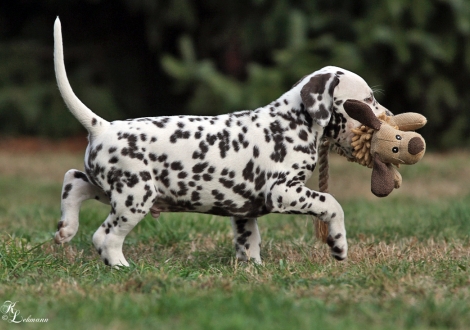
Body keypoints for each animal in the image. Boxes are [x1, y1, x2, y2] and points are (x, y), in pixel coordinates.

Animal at [52, 17, 390, 266]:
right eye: (367, 100)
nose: (388, 116)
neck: (291, 122)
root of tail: (103, 127)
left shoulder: (244, 213)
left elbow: (249, 243)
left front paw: (253, 269)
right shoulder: (284, 191)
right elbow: (332, 204)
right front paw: (338, 245)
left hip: (113, 188)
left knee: (73, 180)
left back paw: (66, 228)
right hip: (135, 195)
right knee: (105, 237)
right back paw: (120, 265)